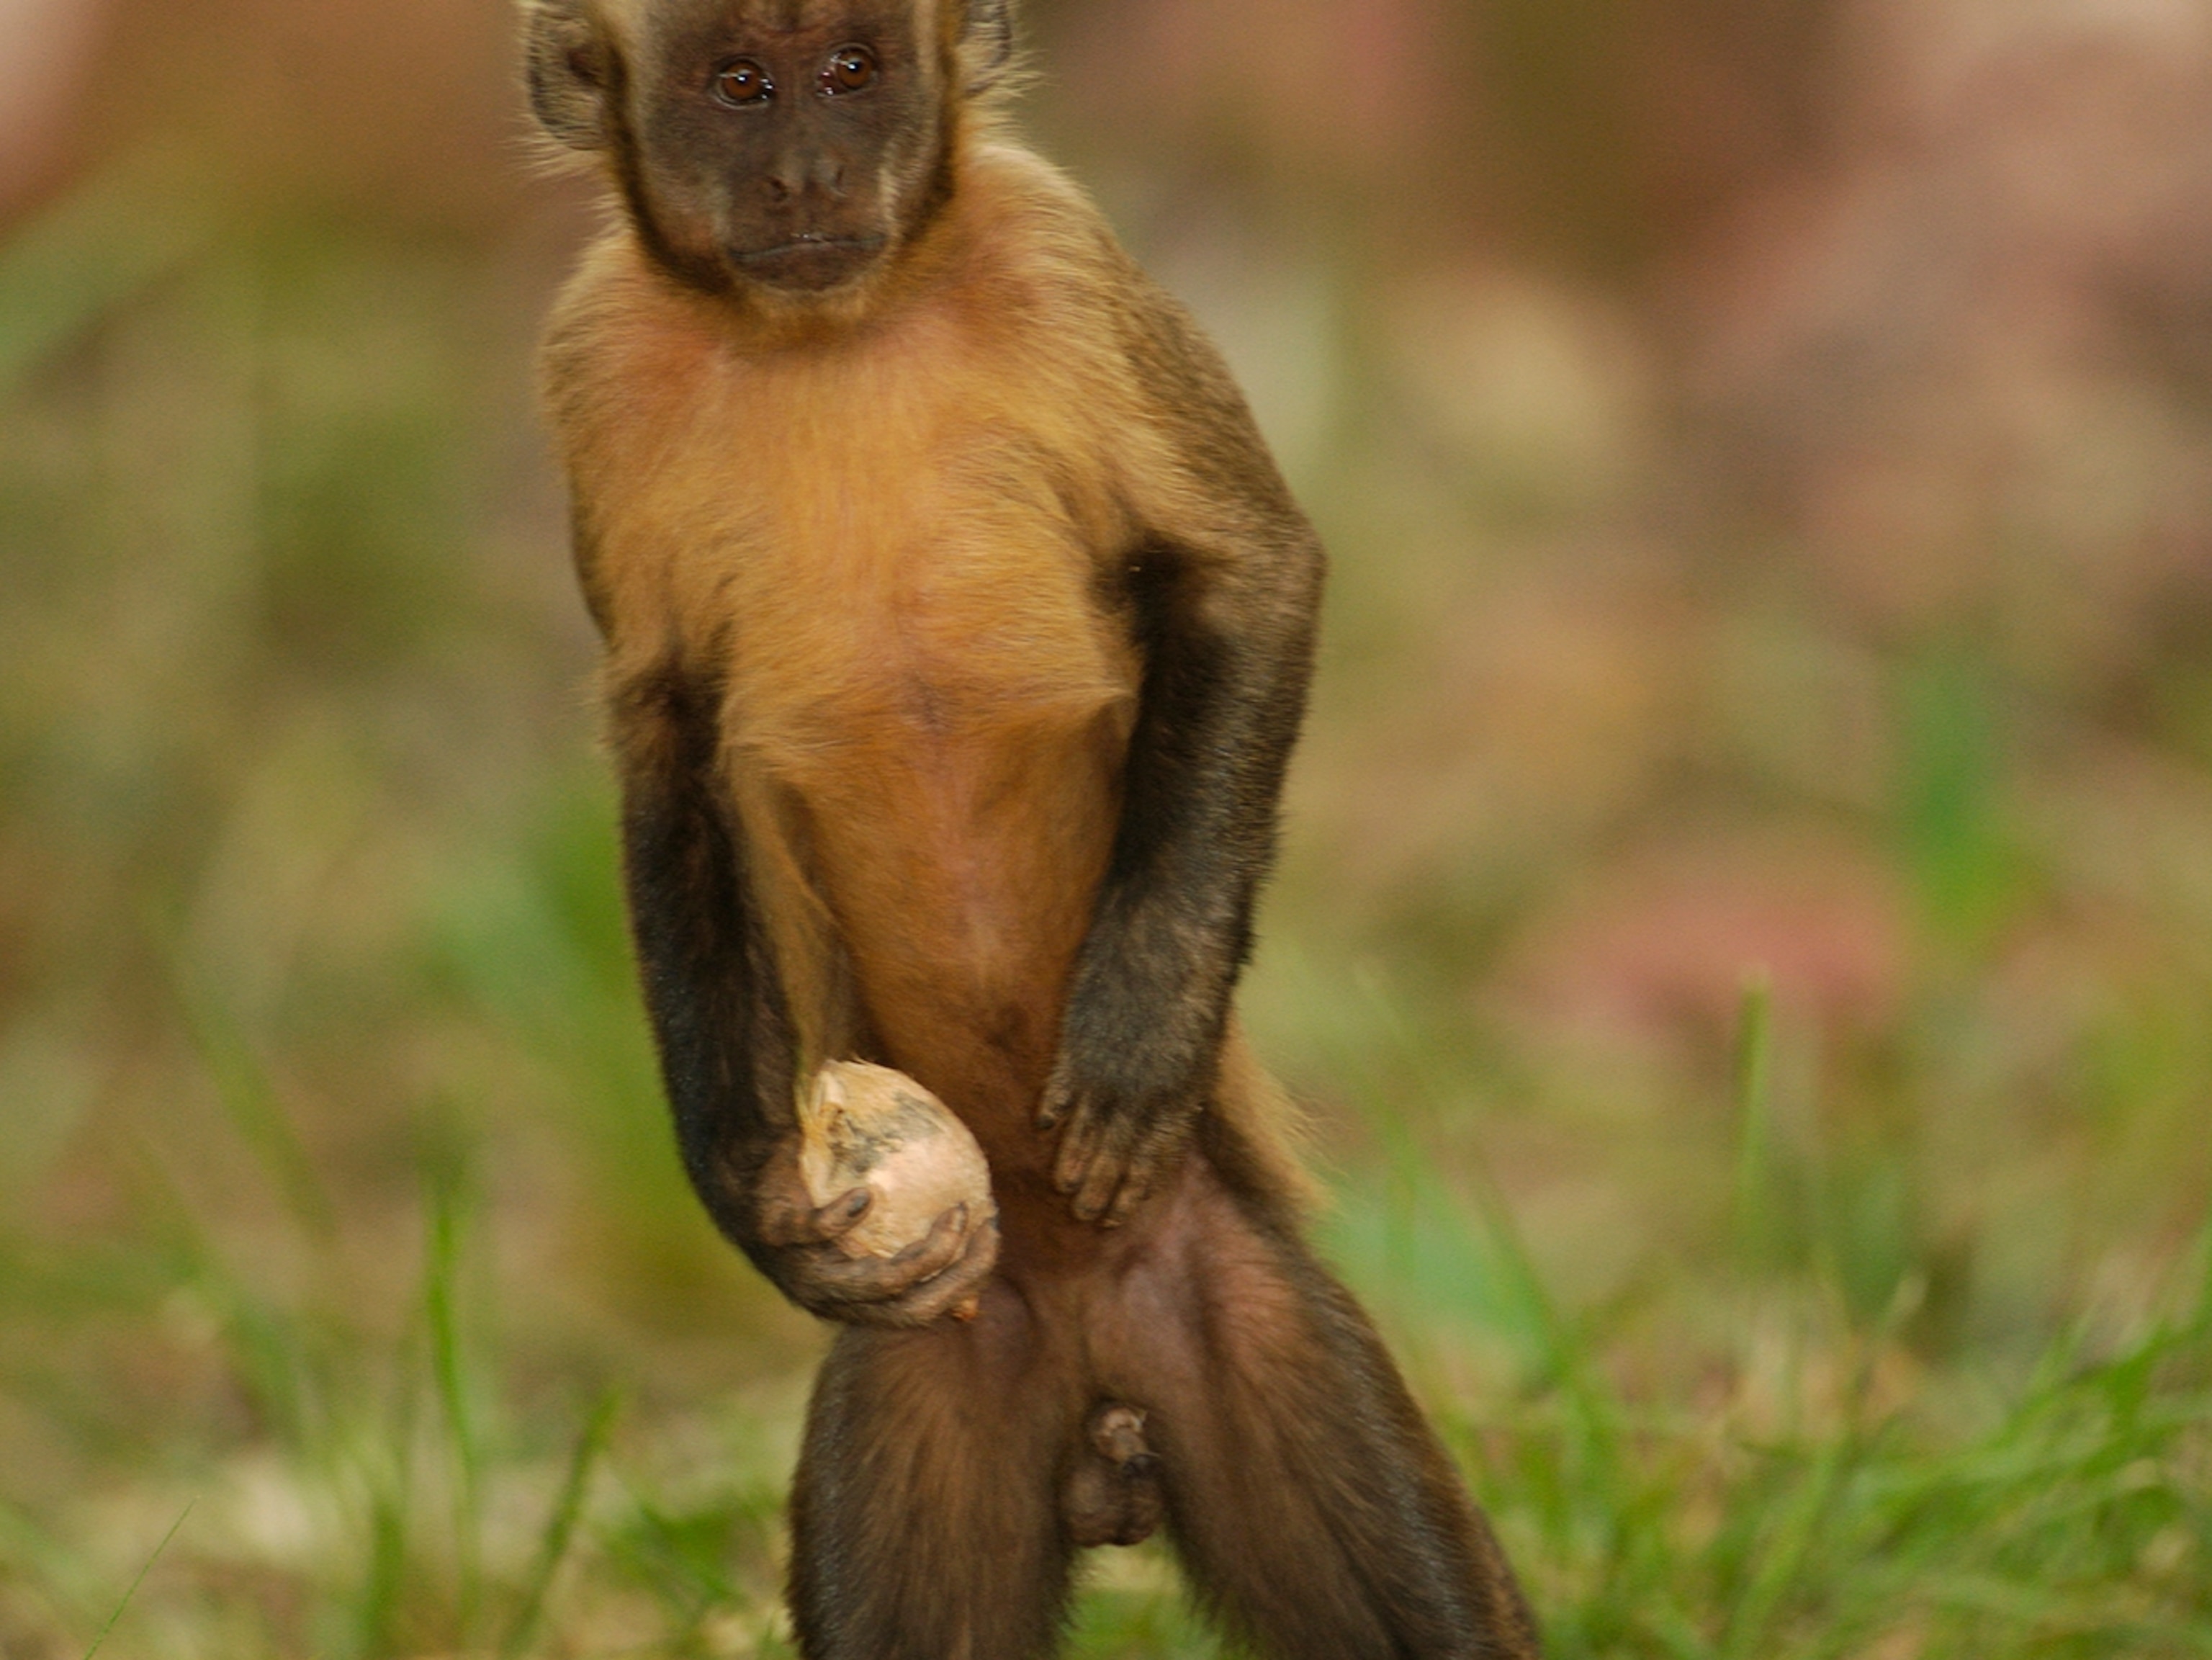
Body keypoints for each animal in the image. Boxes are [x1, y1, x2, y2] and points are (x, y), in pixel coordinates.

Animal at [521, 0, 1543, 1653]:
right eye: (738, 85)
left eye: (852, 71)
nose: (808, 171)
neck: (838, 330)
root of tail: (1091, 1366)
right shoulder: (592, 354)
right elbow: (662, 737)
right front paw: (750, 1199)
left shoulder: (1055, 250)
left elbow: (1254, 570)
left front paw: (1142, 1023)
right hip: (947, 1353)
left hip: (1227, 1295)